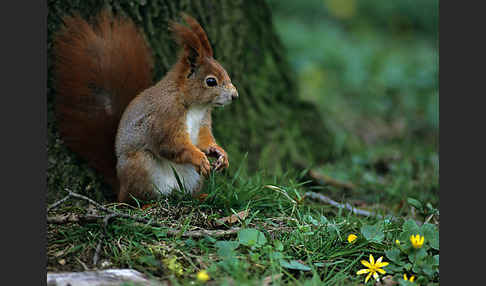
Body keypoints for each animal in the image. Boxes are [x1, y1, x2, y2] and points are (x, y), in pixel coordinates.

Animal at [53, 10, 237, 202]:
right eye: (211, 81)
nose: (235, 95)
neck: (196, 107)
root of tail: (121, 186)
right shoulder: (166, 117)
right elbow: (171, 144)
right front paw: (200, 158)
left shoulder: (203, 121)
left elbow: (204, 140)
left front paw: (220, 153)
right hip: (141, 166)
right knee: (134, 200)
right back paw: (146, 203)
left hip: (191, 179)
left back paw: (200, 196)